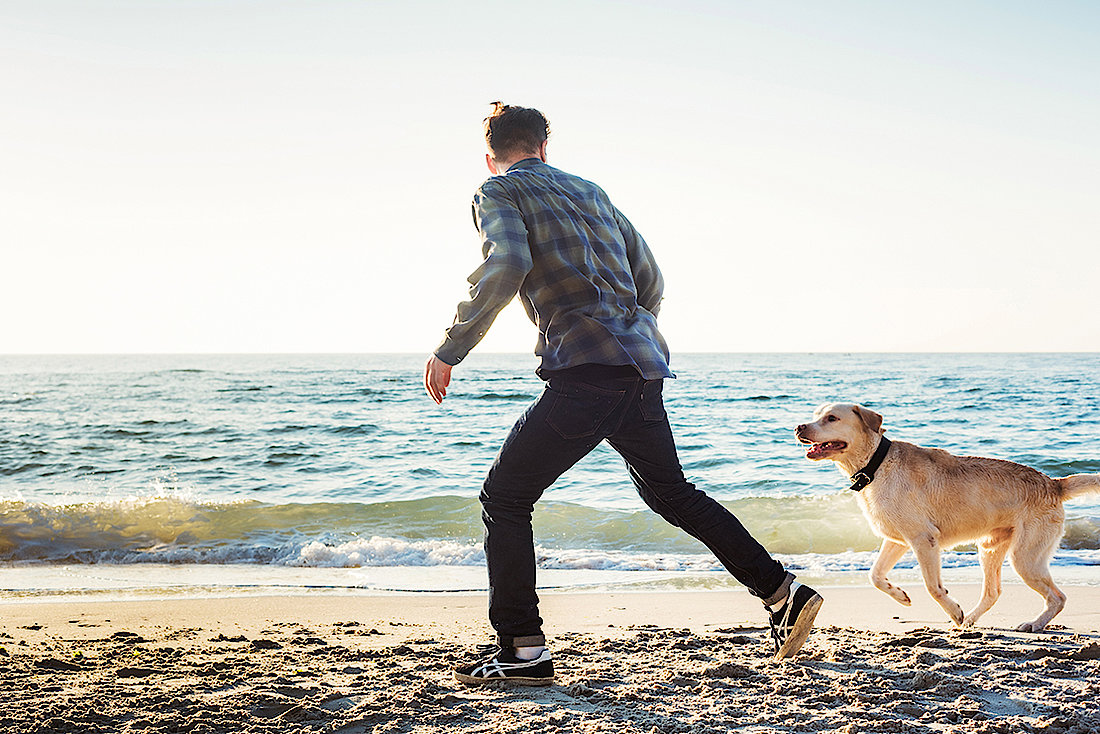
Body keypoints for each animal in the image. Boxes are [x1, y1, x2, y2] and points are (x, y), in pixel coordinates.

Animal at [796, 402, 1095, 633]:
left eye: (832, 418)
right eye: (815, 414)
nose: (799, 427)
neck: (876, 465)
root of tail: (1053, 483)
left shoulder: (923, 540)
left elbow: (933, 587)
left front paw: (953, 610)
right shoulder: (898, 541)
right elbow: (875, 575)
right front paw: (900, 596)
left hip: (1026, 558)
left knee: (1058, 597)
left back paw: (1033, 623)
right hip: (990, 549)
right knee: (993, 593)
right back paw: (970, 621)